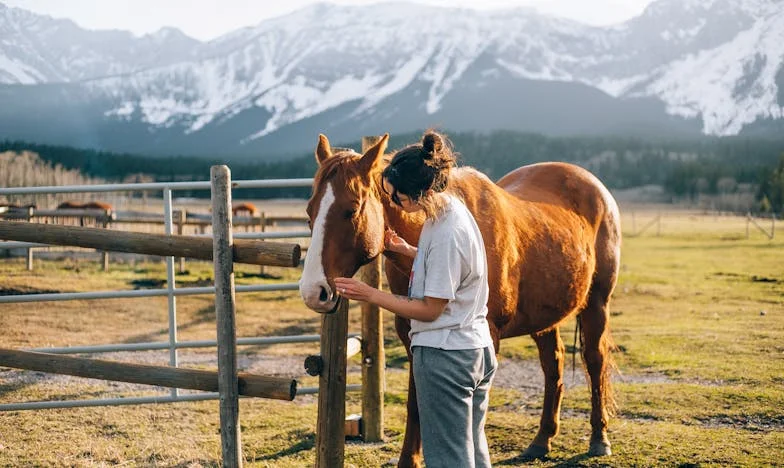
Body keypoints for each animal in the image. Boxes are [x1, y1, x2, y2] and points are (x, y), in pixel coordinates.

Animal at [300, 133, 624, 466]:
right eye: (310, 212)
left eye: (351, 210)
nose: (314, 291)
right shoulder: (412, 336)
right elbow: (416, 403)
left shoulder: (488, 335)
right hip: (545, 316)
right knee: (553, 365)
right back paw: (541, 440)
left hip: (597, 303)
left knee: (595, 361)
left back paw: (599, 438)